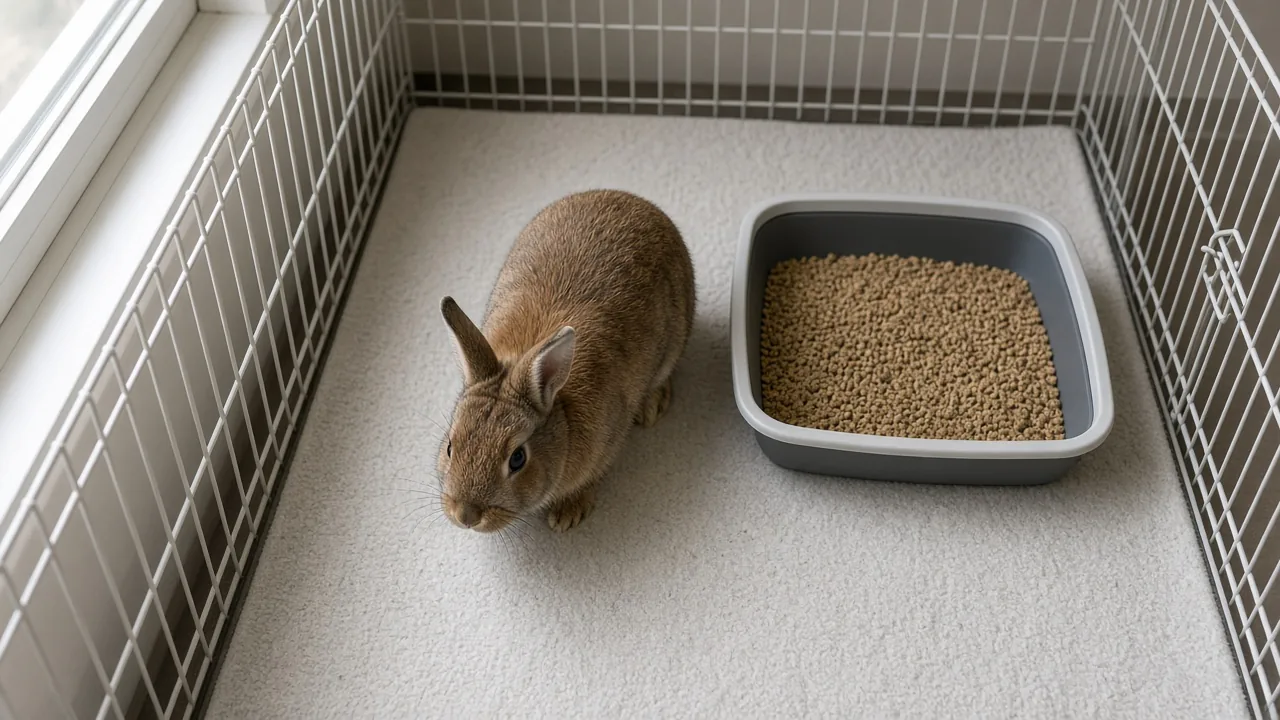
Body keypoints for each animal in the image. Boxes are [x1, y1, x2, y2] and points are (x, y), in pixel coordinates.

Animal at [437, 189, 696, 533]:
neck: (561, 415)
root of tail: (637, 201)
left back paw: (651, 408)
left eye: (517, 458)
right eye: (450, 446)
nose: (466, 516)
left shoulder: (608, 441)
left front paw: (567, 514)